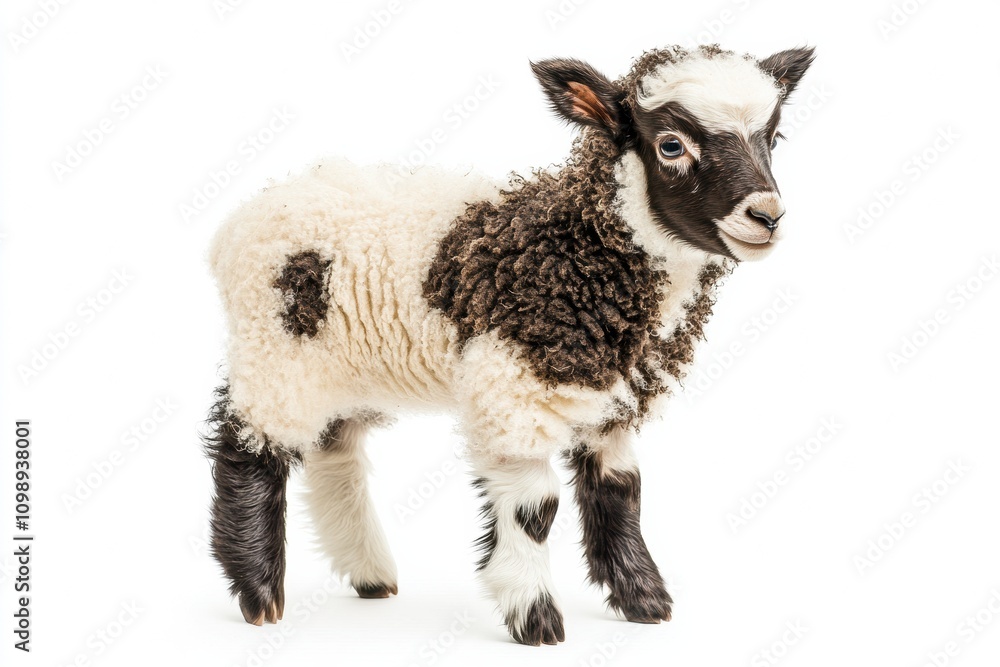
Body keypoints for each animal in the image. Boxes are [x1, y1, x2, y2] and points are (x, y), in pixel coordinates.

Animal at [204, 43, 815, 646]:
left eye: (774, 137)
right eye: (671, 144)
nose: (767, 216)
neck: (580, 246)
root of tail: (237, 225)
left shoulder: (611, 397)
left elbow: (621, 492)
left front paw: (644, 599)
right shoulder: (513, 392)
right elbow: (534, 508)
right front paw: (534, 613)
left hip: (340, 366)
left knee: (337, 455)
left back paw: (370, 574)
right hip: (275, 352)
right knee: (248, 450)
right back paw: (259, 592)